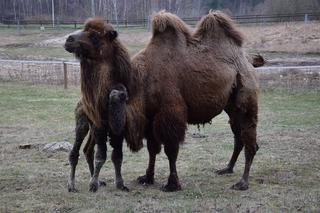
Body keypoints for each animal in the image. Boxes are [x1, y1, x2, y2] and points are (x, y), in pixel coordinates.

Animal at [65, 10, 260, 192]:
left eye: (95, 35)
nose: (68, 39)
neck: (138, 81)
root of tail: (248, 60)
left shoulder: (170, 114)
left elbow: (170, 150)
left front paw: (171, 184)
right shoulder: (149, 117)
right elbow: (152, 149)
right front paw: (147, 177)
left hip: (246, 94)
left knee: (250, 139)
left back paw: (242, 182)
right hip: (231, 106)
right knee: (238, 136)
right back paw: (227, 168)